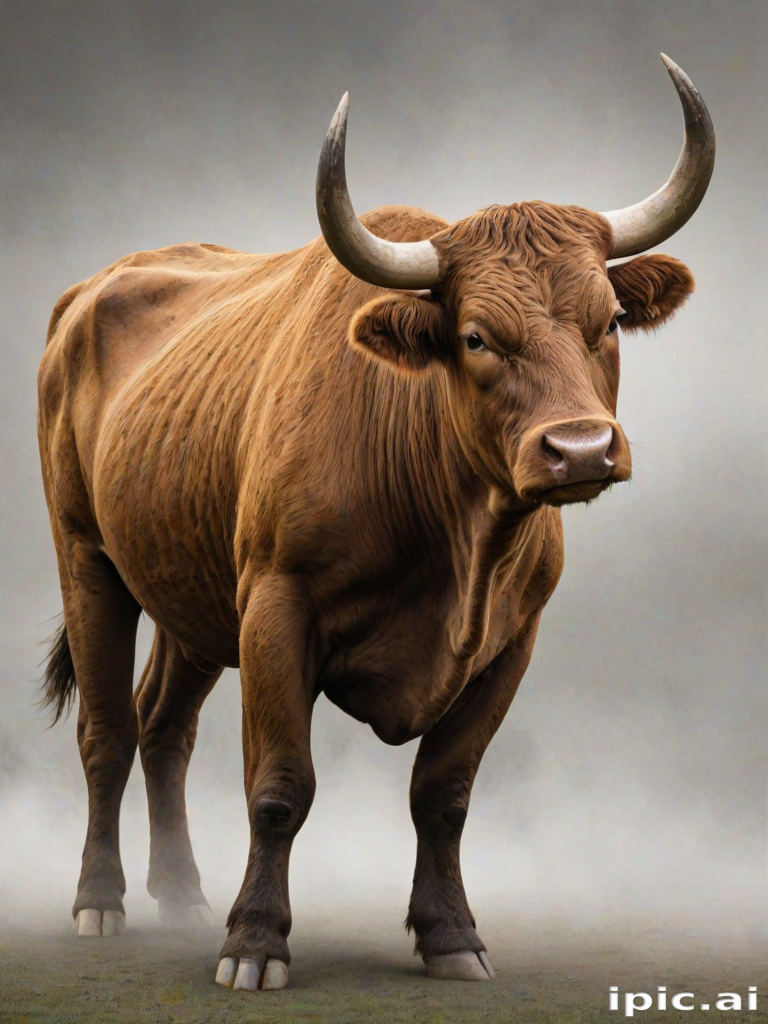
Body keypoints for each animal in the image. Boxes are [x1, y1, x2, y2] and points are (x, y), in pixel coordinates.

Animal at [37, 55, 714, 990]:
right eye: (475, 336)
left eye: (608, 320)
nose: (579, 450)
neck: (459, 550)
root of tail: (90, 290)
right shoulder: (275, 611)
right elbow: (280, 787)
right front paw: (255, 942)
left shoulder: (513, 641)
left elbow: (445, 795)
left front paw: (451, 934)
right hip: (86, 556)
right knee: (108, 730)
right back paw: (99, 901)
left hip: (189, 584)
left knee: (165, 726)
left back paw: (181, 896)